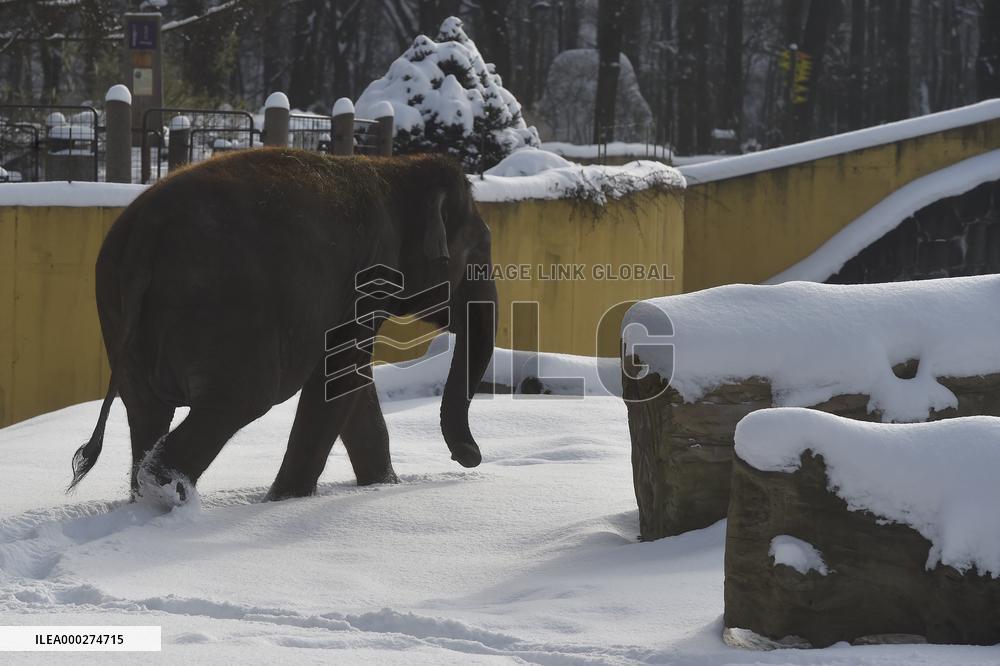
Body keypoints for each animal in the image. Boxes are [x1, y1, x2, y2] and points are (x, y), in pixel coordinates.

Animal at [68, 148, 497, 505]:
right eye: (480, 252)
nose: (470, 456)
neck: (394, 169)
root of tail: (147, 228)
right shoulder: (368, 279)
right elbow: (341, 375)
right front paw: (285, 502)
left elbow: (353, 382)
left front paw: (381, 485)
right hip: (227, 309)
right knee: (243, 398)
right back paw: (169, 499)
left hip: (117, 309)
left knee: (146, 410)